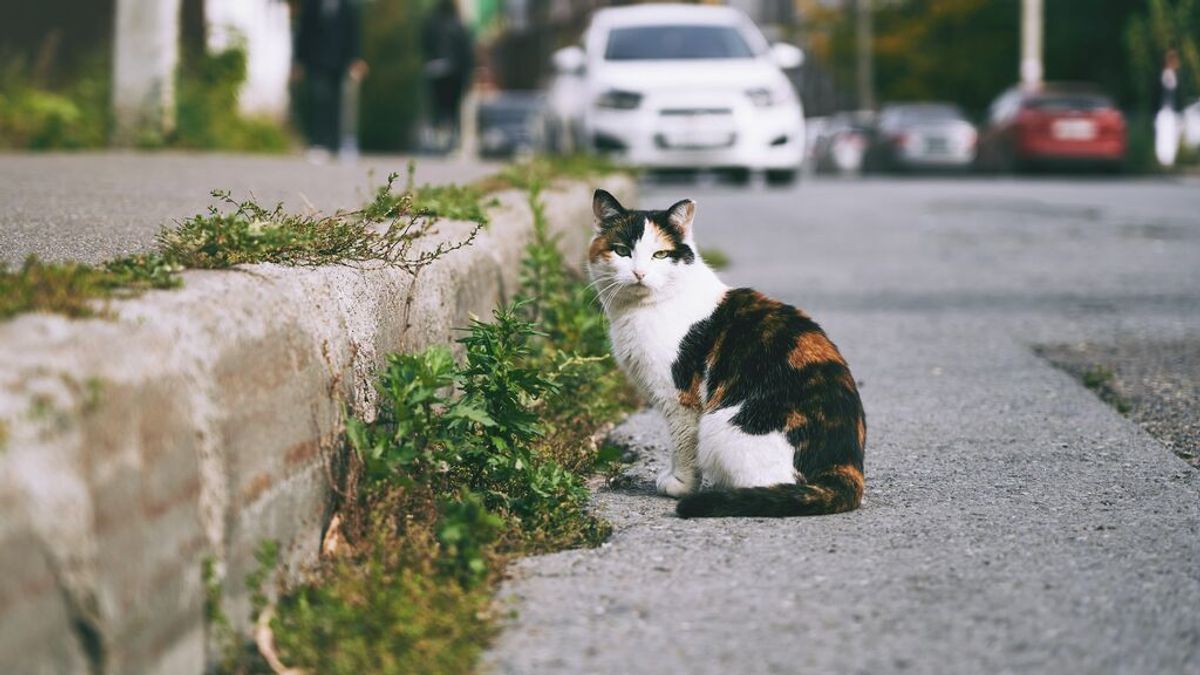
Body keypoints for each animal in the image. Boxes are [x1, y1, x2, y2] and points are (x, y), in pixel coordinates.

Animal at [588, 186, 864, 516]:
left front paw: (678, 484)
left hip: (719, 427)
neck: (641, 310)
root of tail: (845, 464)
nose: (639, 273)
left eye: (660, 255)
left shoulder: (681, 400)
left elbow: (682, 447)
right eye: (621, 251)